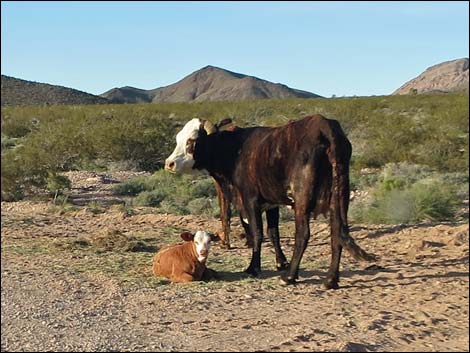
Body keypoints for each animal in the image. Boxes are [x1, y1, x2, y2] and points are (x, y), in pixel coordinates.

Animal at [165, 114, 374, 288]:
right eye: (178, 139)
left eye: (192, 141)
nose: (169, 163)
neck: (235, 150)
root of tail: (323, 126)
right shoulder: (273, 203)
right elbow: (273, 233)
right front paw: (281, 262)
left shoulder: (251, 201)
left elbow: (257, 233)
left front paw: (253, 267)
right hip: (339, 197)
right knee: (337, 232)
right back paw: (331, 279)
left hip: (302, 200)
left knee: (303, 235)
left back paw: (290, 277)